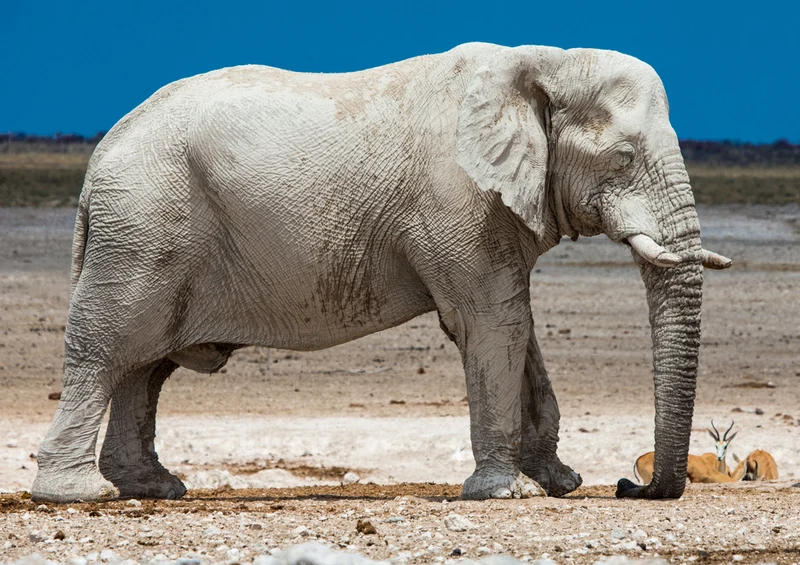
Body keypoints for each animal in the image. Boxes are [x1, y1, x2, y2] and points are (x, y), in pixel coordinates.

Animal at [31, 42, 731, 503]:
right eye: (623, 157)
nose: (629, 483)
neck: (544, 61)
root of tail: (100, 155)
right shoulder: (457, 200)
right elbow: (492, 324)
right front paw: (504, 493)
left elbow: (515, 328)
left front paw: (559, 484)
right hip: (143, 224)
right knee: (108, 349)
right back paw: (77, 495)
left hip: (148, 230)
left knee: (145, 365)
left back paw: (153, 488)